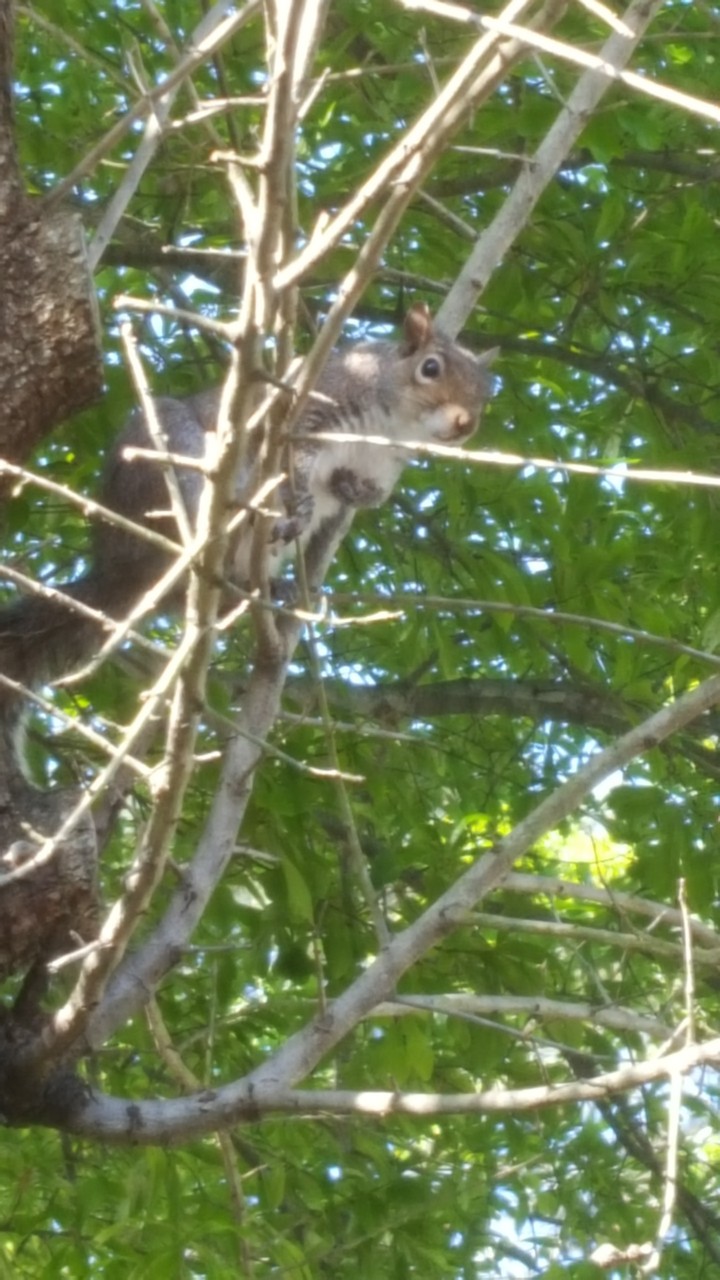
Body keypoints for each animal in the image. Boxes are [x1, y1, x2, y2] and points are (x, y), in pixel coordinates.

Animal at [0, 303, 496, 753]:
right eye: (430, 368)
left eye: (488, 390)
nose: (465, 424)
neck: (392, 426)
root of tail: (118, 571)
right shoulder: (310, 409)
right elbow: (297, 464)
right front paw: (301, 501)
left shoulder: (385, 468)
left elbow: (367, 494)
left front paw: (348, 490)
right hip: (171, 463)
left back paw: (271, 588)